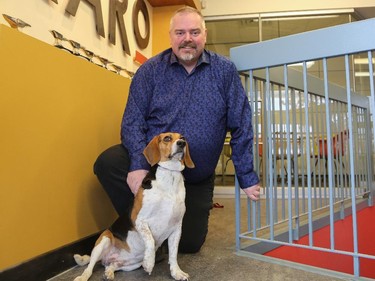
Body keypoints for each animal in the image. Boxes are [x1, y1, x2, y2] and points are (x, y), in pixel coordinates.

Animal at [74, 132, 195, 278]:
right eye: (167, 138)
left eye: (183, 138)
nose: (181, 143)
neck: (170, 175)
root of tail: (106, 258)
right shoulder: (139, 220)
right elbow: (150, 240)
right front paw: (149, 262)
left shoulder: (176, 228)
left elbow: (173, 255)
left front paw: (177, 272)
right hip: (103, 241)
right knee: (89, 267)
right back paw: (83, 277)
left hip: (131, 265)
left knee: (113, 265)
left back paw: (109, 272)